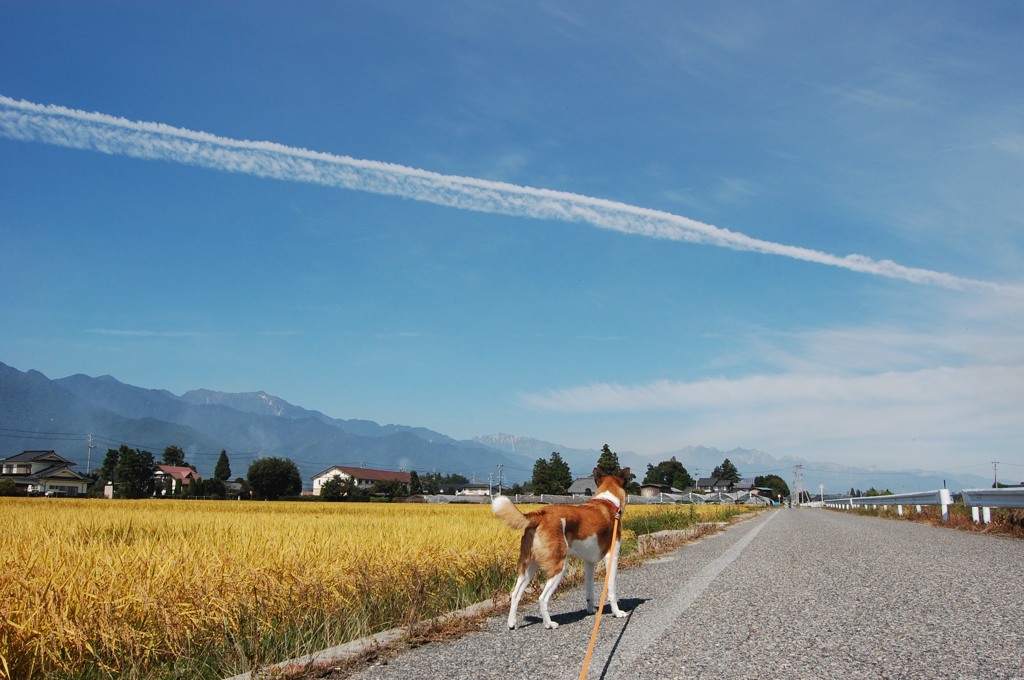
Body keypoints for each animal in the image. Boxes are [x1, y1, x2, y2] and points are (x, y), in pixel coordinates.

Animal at [489, 464, 626, 630]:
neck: (608, 501)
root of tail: (540, 514)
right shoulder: (612, 557)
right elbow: (611, 590)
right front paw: (617, 612)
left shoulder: (589, 563)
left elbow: (589, 590)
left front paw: (590, 610)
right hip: (559, 566)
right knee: (542, 598)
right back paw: (549, 623)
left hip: (528, 567)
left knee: (515, 594)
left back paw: (511, 623)